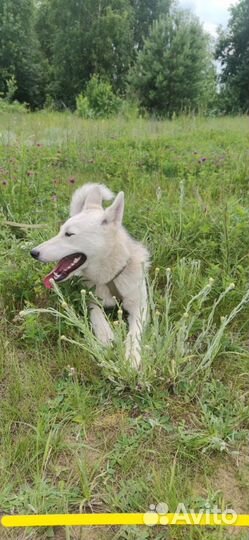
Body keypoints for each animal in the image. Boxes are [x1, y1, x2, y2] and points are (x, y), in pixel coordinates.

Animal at [30, 184, 149, 370]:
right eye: (60, 231)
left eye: (69, 234)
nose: (33, 252)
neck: (110, 278)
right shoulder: (90, 300)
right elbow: (97, 316)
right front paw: (106, 336)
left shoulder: (140, 307)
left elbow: (134, 333)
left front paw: (131, 356)